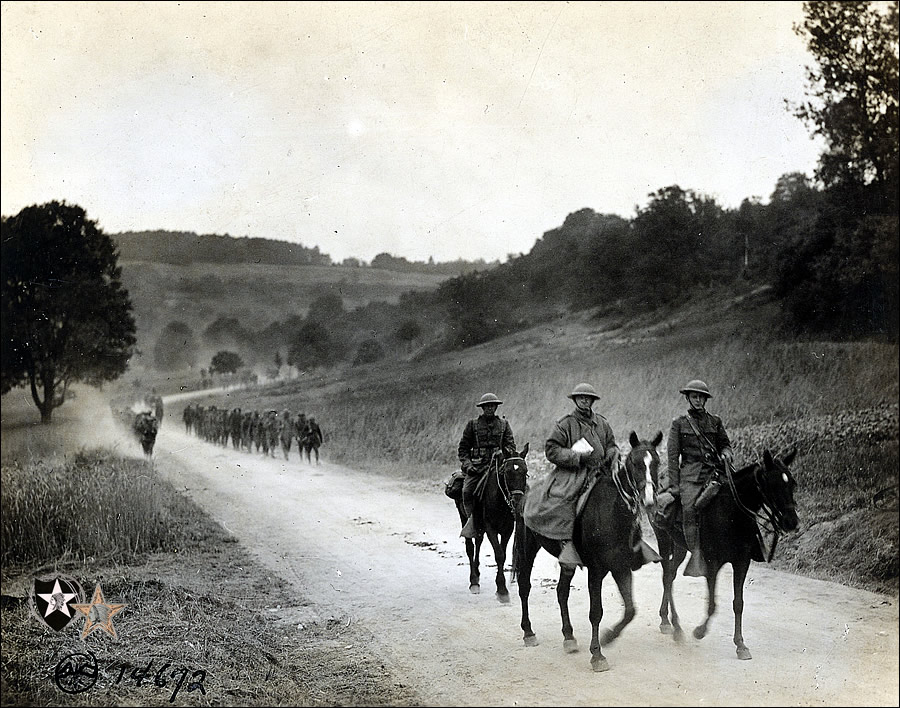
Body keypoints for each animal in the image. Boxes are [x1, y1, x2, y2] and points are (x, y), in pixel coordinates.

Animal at [512, 432, 660, 676]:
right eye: (634, 463)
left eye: (656, 462)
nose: (648, 501)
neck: (613, 512)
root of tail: (525, 496)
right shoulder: (596, 571)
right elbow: (596, 612)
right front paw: (597, 655)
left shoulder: (621, 567)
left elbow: (630, 609)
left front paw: (609, 637)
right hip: (527, 548)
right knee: (524, 587)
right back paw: (528, 632)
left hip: (567, 562)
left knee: (562, 592)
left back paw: (569, 637)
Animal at [652, 446, 800, 660]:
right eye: (772, 484)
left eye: (792, 483)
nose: (792, 522)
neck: (731, 512)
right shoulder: (711, 563)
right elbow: (712, 604)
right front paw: (699, 631)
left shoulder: (741, 562)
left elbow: (738, 603)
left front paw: (741, 645)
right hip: (663, 540)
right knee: (666, 577)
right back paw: (674, 626)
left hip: (679, 546)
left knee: (670, 575)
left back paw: (668, 621)